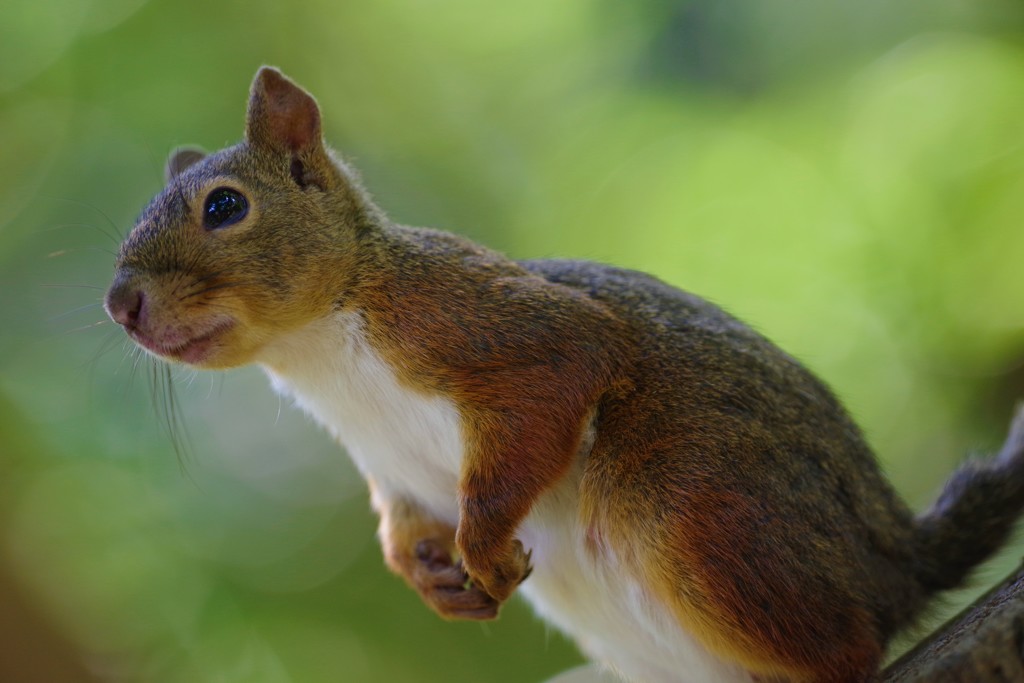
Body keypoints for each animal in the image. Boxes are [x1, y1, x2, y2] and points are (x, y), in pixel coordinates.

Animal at [101, 65, 1024, 683]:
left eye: (225, 206)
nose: (119, 304)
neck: (320, 354)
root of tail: (895, 560)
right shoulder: (390, 469)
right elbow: (399, 525)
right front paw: (431, 577)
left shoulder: (472, 322)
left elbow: (562, 372)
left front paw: (480, 545)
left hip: (696, 520)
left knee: (847, 647)